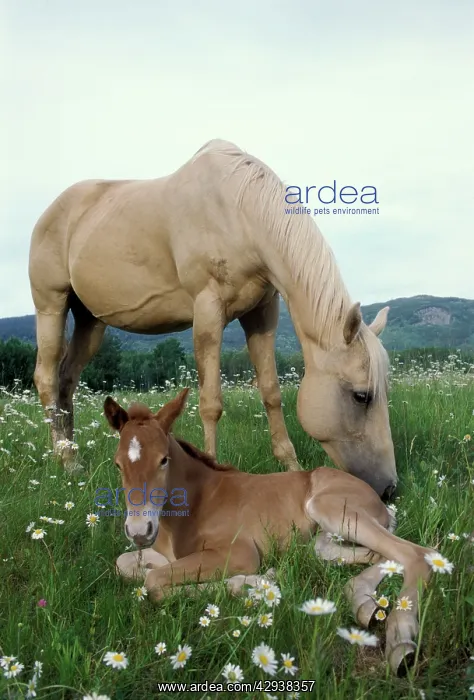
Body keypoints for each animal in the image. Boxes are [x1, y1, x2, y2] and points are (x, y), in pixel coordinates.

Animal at [29, 138, 396, 496]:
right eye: (361, 395)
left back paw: (73, 458)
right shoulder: (208, 310)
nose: (390, 488)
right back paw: (65, 460)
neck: (237, 212)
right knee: (46, 377)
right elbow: (210, 403)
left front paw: (292, 468)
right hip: (51, 305)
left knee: (66, 380)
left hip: (91, 321)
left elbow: (271, 391)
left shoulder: (262, 314)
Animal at [103, 389, 436, 675]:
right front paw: (258, 582)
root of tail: (379, 500)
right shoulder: (163, 554)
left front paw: (252, 583)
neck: (197, 502)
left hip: (330, 508)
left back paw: (402, 642)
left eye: (163, 460)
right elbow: (125, 566)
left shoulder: (240, 552)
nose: (139, 531)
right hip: (324, 543)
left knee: (418, 553)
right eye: (117, 464)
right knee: (379, 555)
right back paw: (364, 604)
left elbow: (153, 582)